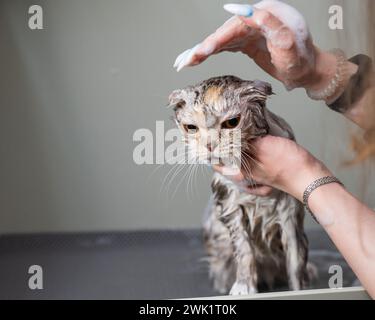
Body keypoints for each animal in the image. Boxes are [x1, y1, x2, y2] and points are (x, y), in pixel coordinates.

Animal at [169, 75, 312, 296]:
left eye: (231, 123)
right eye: (191, 128)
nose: (209, 145)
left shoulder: (289, 213)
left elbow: (295, 260)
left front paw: (298, 289)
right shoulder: (229, 203)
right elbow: (244, 249)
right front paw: (244, 285)